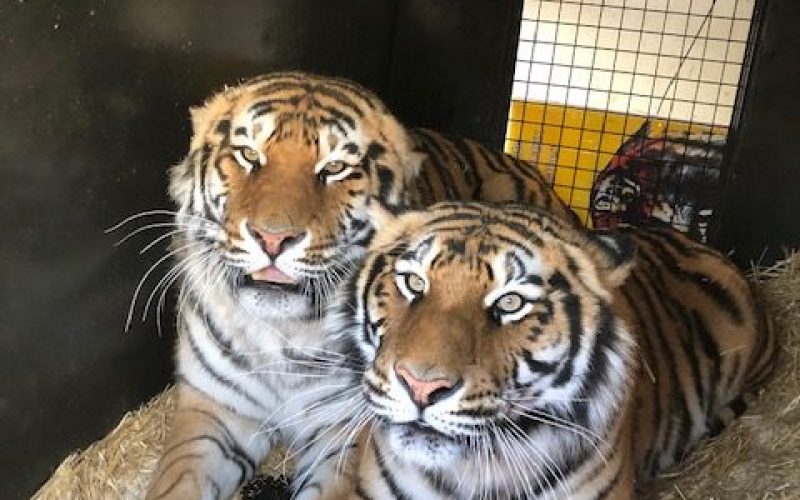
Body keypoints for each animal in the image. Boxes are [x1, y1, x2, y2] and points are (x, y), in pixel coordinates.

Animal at [144, 71, 577, 500]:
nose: (272, 239)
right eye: (249, 155)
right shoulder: (213, 412)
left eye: (335, 167)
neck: (283, 335)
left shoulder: (349, 434)